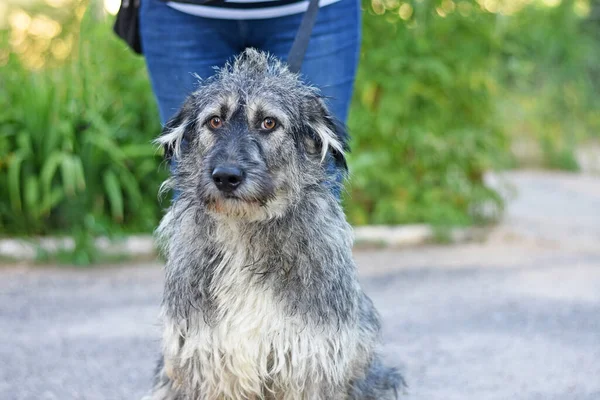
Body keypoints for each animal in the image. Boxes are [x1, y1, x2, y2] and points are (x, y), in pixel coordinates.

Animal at [146, 48, 404, 398]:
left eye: (269, 122)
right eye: (215, 120)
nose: (226, 176)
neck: (245, 231)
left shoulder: (309, 358)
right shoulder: (207, 361)